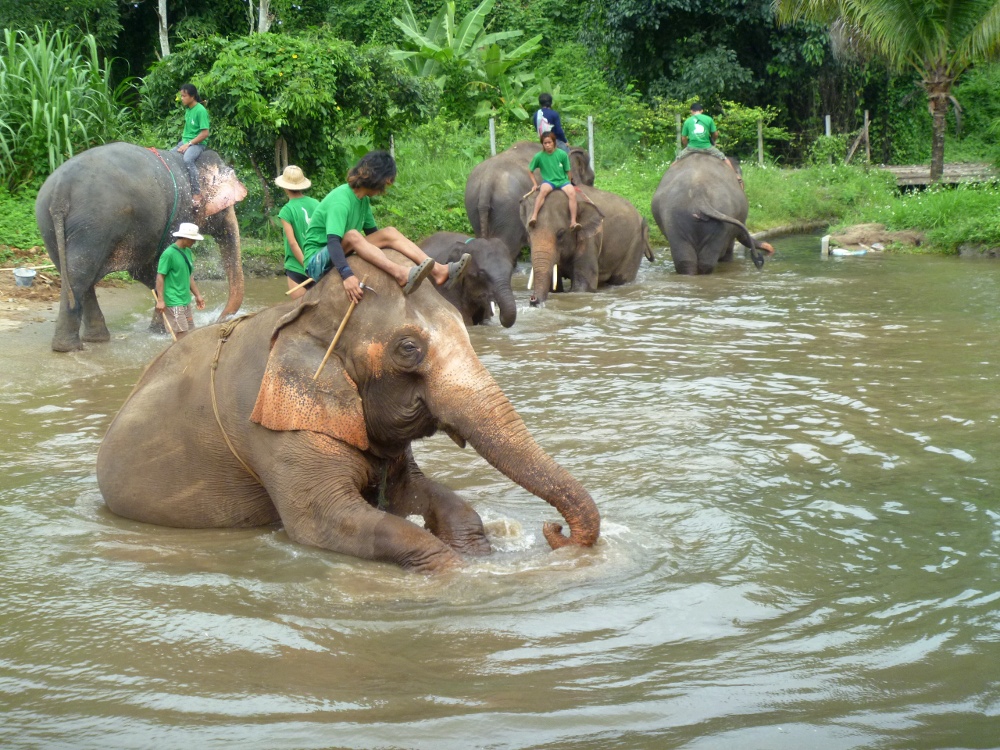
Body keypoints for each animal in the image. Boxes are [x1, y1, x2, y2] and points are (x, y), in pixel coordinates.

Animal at [36, 142, 248, 352]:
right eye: (227, 206)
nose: (219, 319)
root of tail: (59, 192)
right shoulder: (179, 214)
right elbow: (159, 268)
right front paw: (162, 332)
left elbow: (147, 272)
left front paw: (159, 329)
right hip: (93, 224)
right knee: (80, 277)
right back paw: (70, 347)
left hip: (50, 225)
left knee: (76, 275)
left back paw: (93, 340)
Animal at [95, 253, 600, 576]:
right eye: (408, 349)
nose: (553, 529)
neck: (307, 314)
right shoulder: (273, 428)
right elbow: (324, 521)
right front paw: (457, 573)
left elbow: (416, 495)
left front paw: (478, 554)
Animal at [516, 186, 656, 308]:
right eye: (528, 232)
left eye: (560, 234)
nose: (532, 299)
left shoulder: (590, 239)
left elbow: (583, 287)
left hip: (635, 245)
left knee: (621, 279)